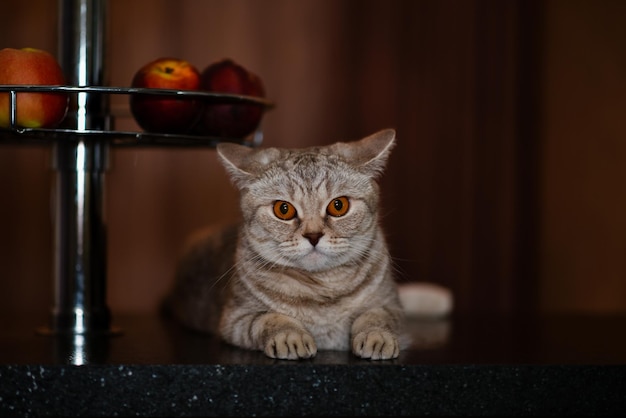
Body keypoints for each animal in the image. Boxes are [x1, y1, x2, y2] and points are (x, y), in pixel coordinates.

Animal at [163, 129, 450, 360]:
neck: (323, 292)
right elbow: (267, 318)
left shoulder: (392, 306)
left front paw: (377, 336)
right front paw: (290, 336)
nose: (313, 236)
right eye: (283, 209)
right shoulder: (234, 319)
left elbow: (378, 315)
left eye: (338, 205)